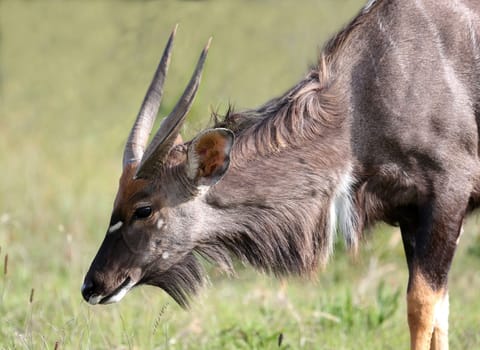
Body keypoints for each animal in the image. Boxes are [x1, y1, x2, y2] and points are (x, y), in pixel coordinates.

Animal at [82, 1, 480, 348]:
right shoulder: (411, 217)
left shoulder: (446, 196)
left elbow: (421, 306)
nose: (91, 285)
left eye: (144, 209)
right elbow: (439, 312)